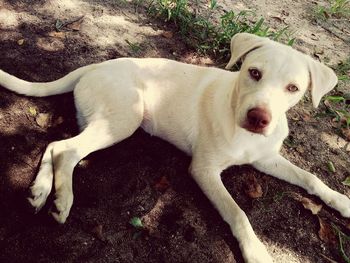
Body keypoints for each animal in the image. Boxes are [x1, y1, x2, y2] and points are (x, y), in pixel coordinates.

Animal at [0, 33, 348, 263]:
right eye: (254, 73)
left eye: (293, 88)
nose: (259, 118)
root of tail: (94, 67)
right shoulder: (204, 170)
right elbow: (238, 213)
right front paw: (256, 252)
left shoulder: (266, 158)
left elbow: (311, 177)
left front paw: (341, 201)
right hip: (125, 119)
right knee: (66, 150)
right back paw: (62, 200)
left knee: (53, 145)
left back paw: (40, 192)